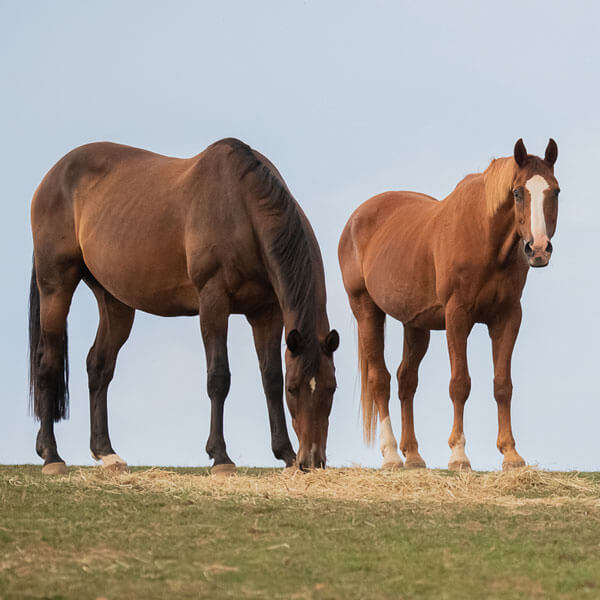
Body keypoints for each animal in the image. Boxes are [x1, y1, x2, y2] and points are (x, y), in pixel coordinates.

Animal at [29, 138, 338, 476]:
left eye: (332, 388)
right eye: (294, 389)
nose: (313, 460)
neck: (241, 208)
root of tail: (53, 176)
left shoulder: (266, 313)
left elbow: (270, 378)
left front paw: (285, 453)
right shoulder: (213, 302)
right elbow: (219, 377)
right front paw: (220, 457)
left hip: (114, 301)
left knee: (98, 366)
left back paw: (106, 453)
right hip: (56, 287)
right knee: (48, 364)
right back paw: (51, 456)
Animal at [340, 139, 560, 468]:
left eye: (555, 191)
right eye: (518, 192)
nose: (538, 249)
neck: (485, 238)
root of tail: (356, 219)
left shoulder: (508, 317)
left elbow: (502, 385)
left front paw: (510, 453)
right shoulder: (457, 316)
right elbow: (460, 384)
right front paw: (458, 454)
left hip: (415, 325)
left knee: (406, 380)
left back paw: (413, 454)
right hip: (366, 310)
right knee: (380, 379)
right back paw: (391, 454)